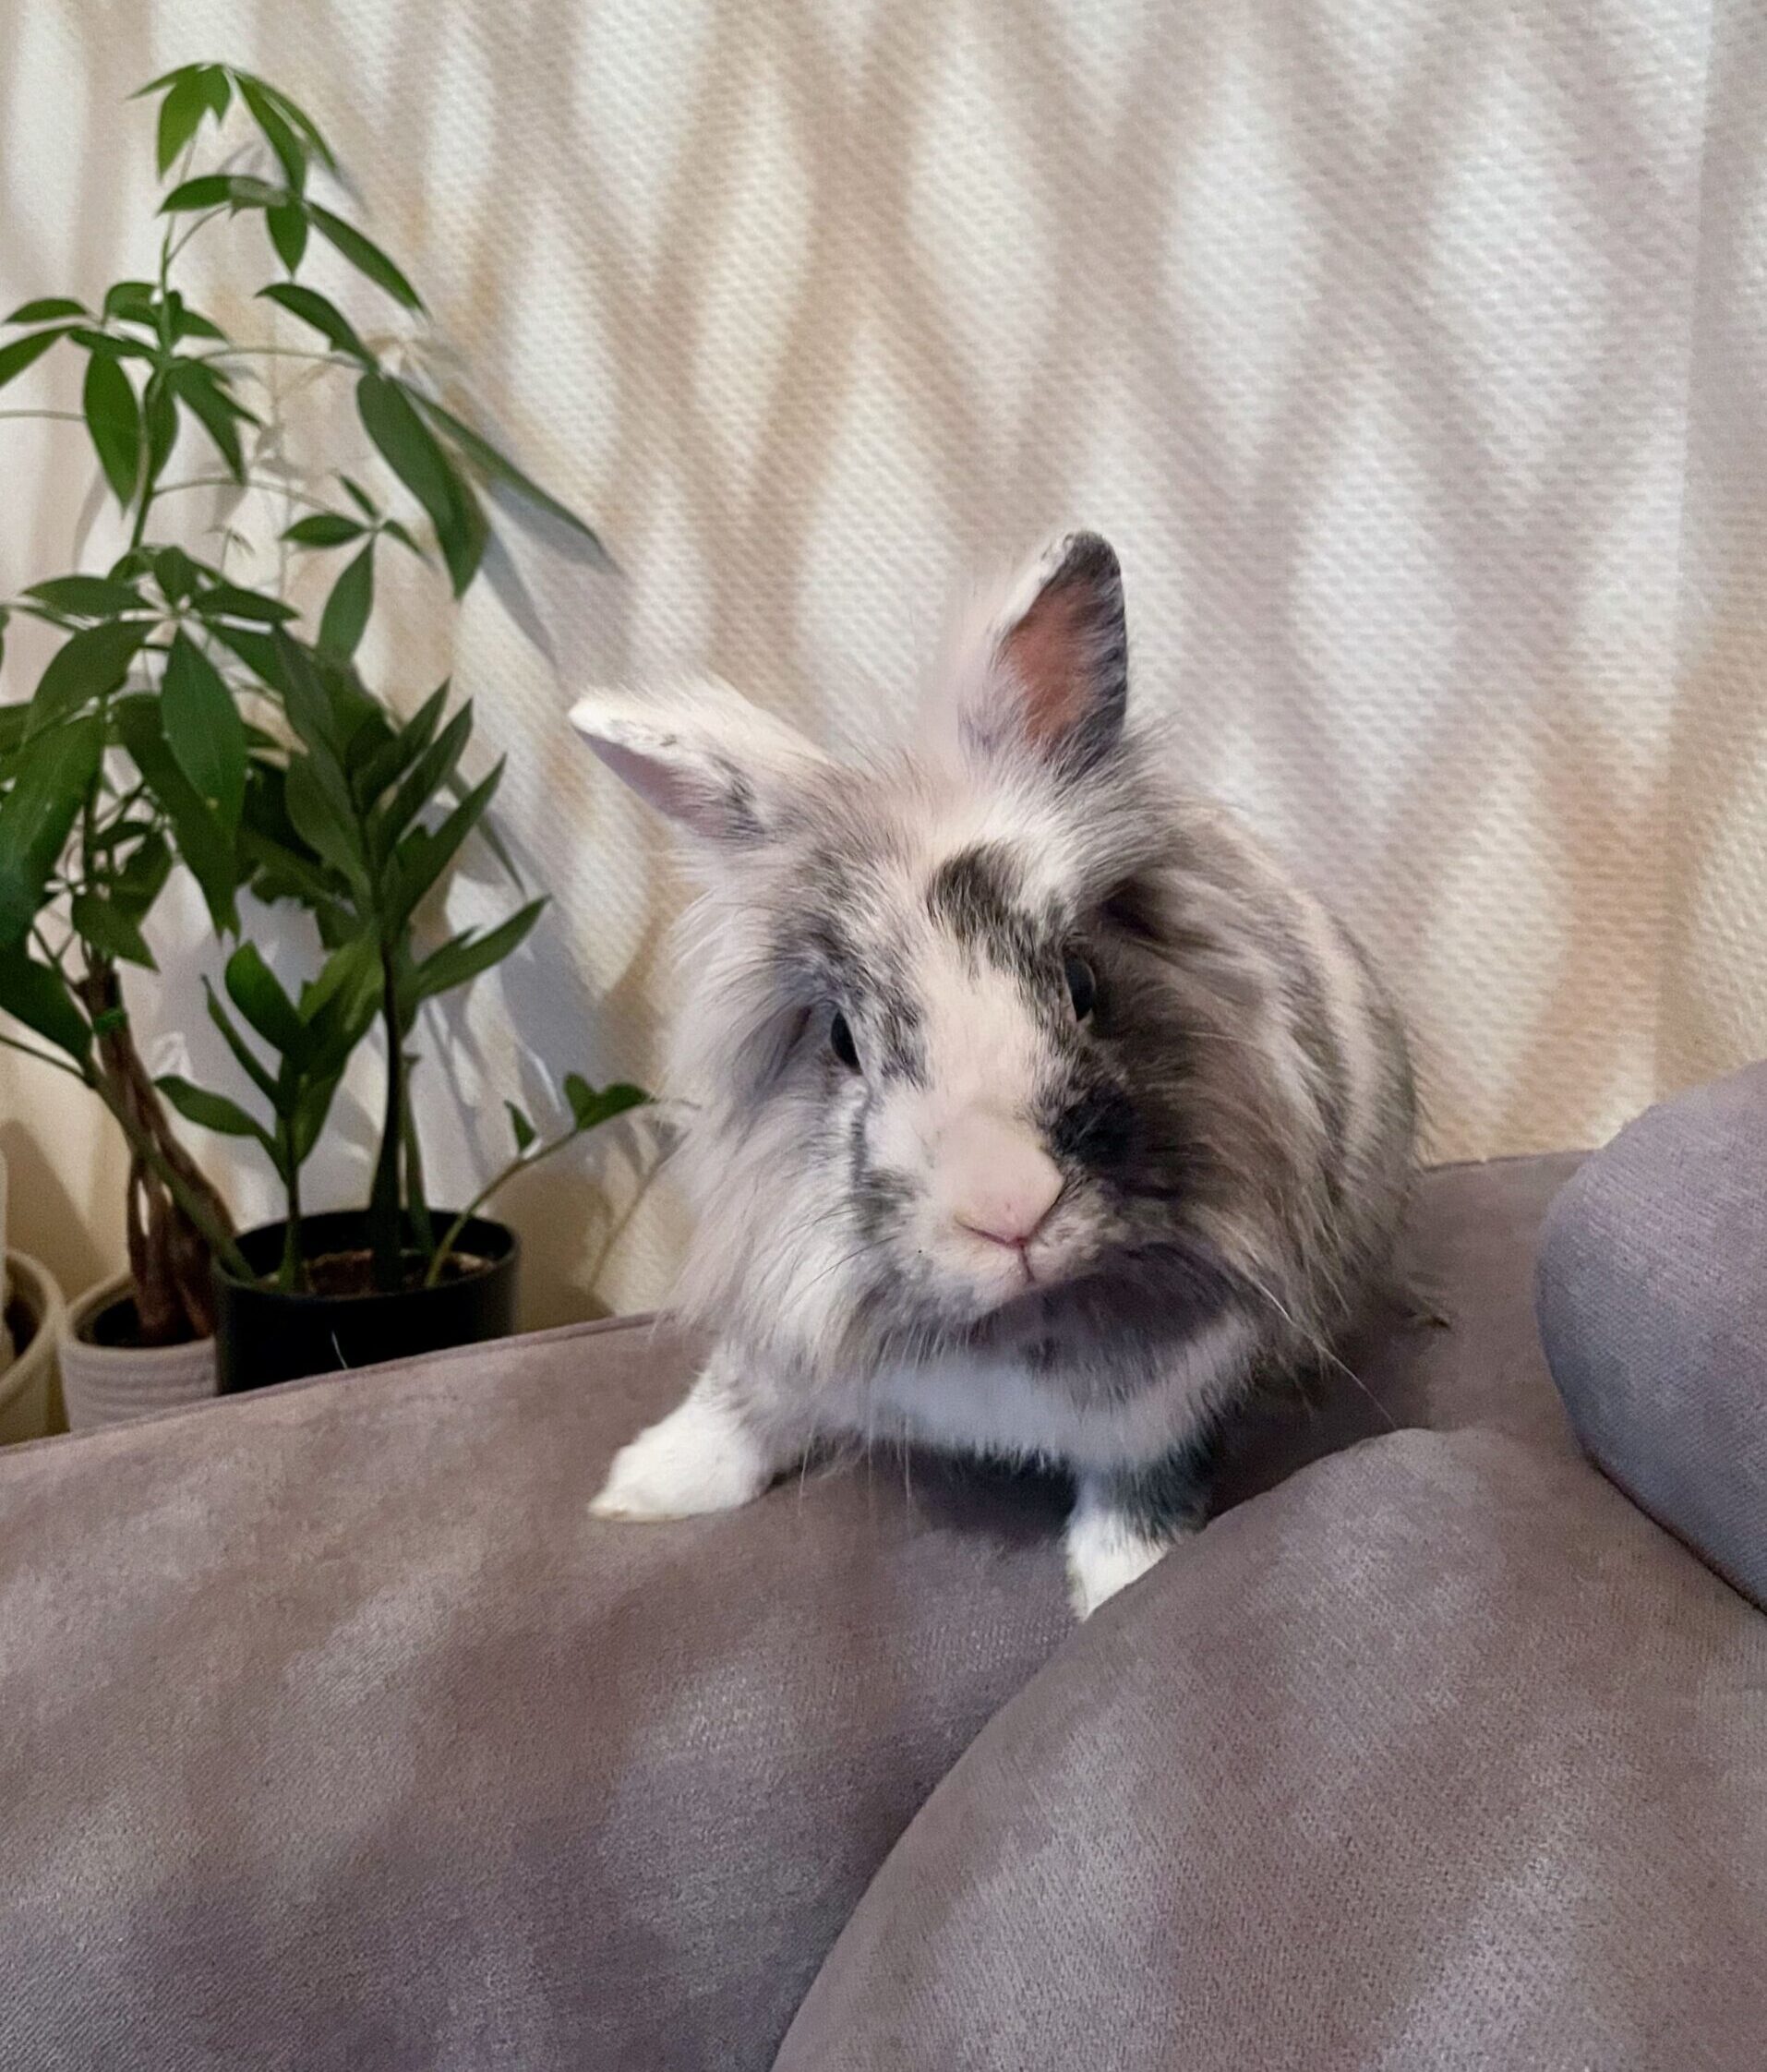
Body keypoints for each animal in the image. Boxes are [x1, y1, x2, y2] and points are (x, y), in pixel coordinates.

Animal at [569, 532, 1416, 1616]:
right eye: (841, 1040)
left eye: (1084, 982)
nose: (1010, 1208)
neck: (1018, 1319)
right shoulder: (780, 1326)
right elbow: (742, 1399)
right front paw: (640, 1488)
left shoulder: (1171, 1401)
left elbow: (1138, 1490)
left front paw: (1124, 1584)